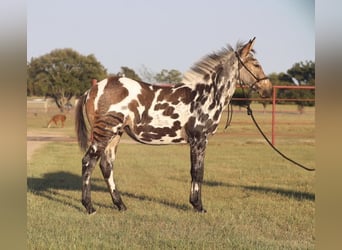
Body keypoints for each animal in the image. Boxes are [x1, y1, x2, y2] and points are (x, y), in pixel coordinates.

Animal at [75, 37, 272, 213]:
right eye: (255, 64)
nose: (268, 89)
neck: (206, 95)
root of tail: (92, 89)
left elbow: (196, 171)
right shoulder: (199, 140)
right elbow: (197, 172)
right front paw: (198, 206)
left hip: (115, 135)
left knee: (106, 166)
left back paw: (120, 205)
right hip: (105, 133)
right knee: (88, 163)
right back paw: (89, 207)